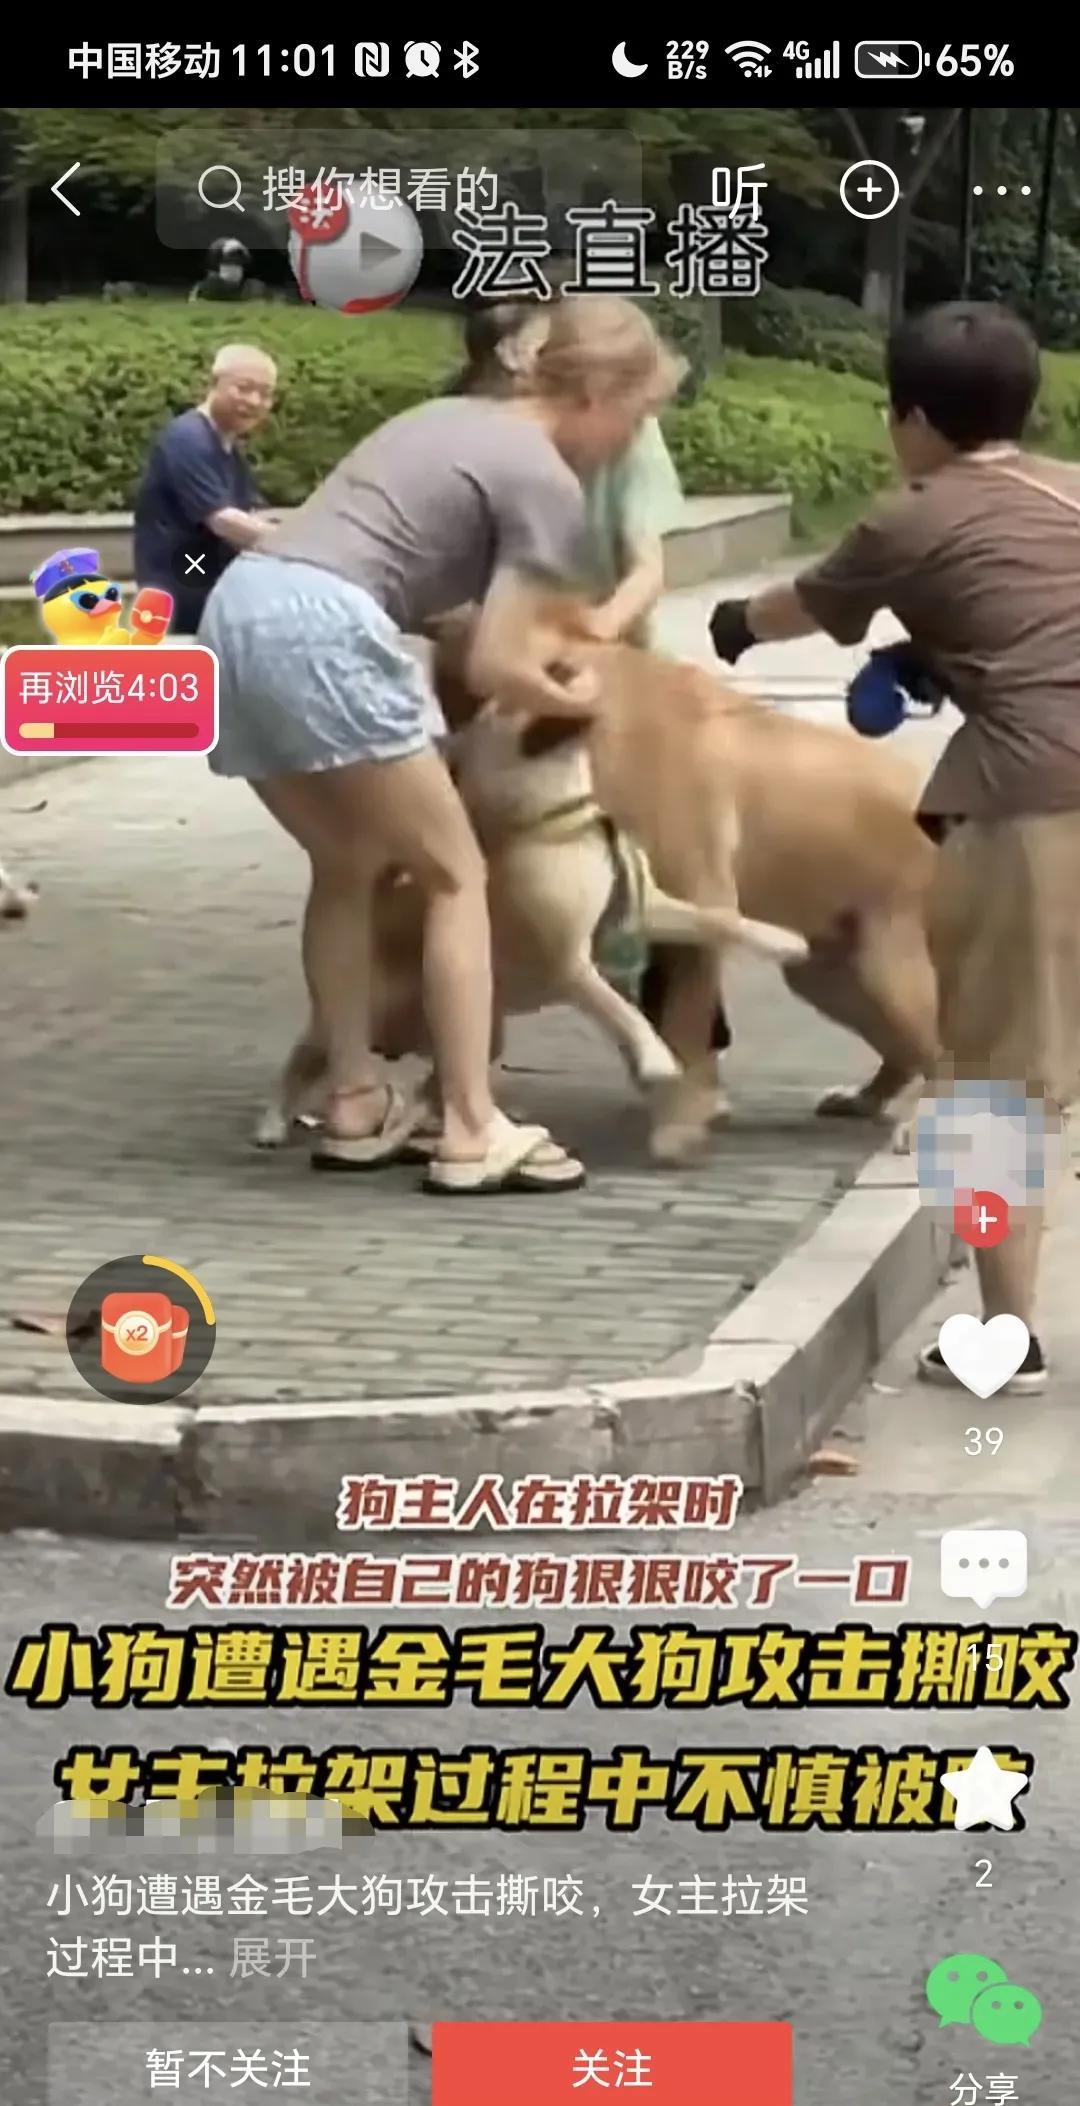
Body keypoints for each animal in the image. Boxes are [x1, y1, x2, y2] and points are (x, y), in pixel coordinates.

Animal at [254, 702, 809, 1150]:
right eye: (511, 703)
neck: (558, 823)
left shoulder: (650, 908)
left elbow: (721, 920)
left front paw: (782, 941)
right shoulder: (568, 962)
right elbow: (620, 1010)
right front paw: (654, 1056)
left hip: (480, 1026)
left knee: (437, 1080)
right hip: (358, 1012)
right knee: (305, 1061)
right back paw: (273, 1124)